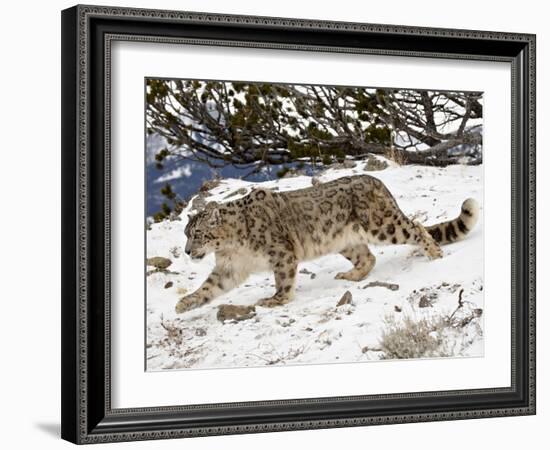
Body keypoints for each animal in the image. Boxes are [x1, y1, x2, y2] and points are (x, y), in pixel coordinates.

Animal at [175, 174, 480, 314]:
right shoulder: (230, 267)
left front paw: (275, 299)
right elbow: (210, 286)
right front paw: (185, 303)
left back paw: (435, 253)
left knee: (415, 227)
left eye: (198, 233)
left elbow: (283, 280)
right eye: (186, 233)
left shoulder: (281, 254)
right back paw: (349, 275)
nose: (188, 251)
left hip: (382, 225)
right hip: (346, 241)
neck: (230, 247)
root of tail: (377, 181)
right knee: (368, 257)